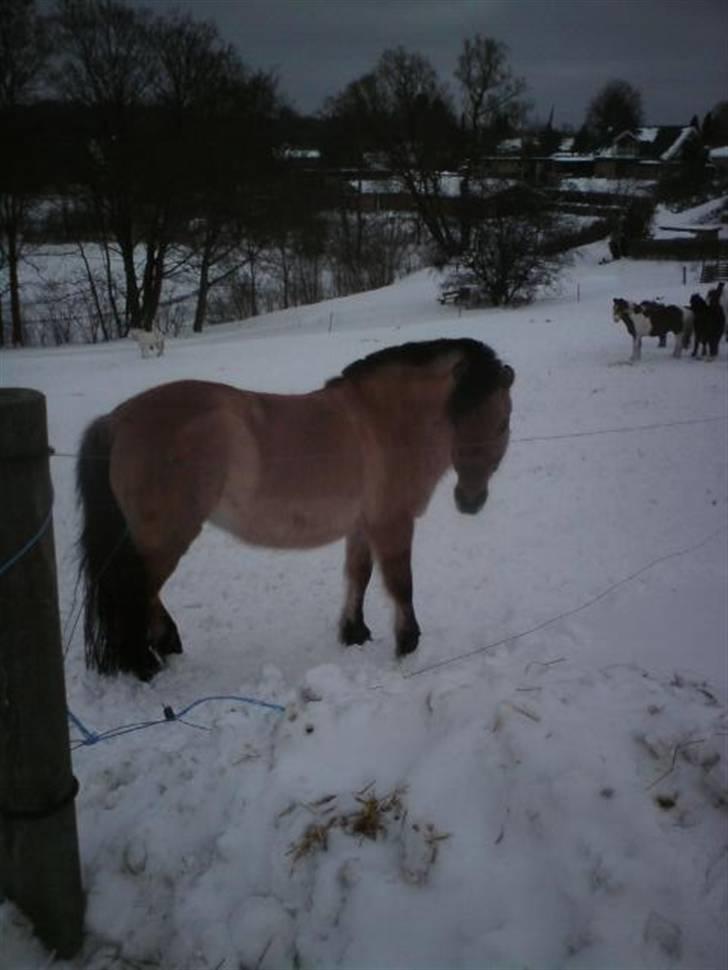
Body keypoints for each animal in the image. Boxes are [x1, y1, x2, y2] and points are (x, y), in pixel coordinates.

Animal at [77, 336, 516, 676]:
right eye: (503, 422)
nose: (471, 501)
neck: (384, 422)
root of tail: (116, 420)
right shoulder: (393, 524)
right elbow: (400, 584)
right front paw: (408, 644)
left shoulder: (363, 526)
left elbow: (358, 576)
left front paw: (354, 633)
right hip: (164, 538)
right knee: (134, 592)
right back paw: (146, 663)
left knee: (144, 594)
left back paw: (166, 645)